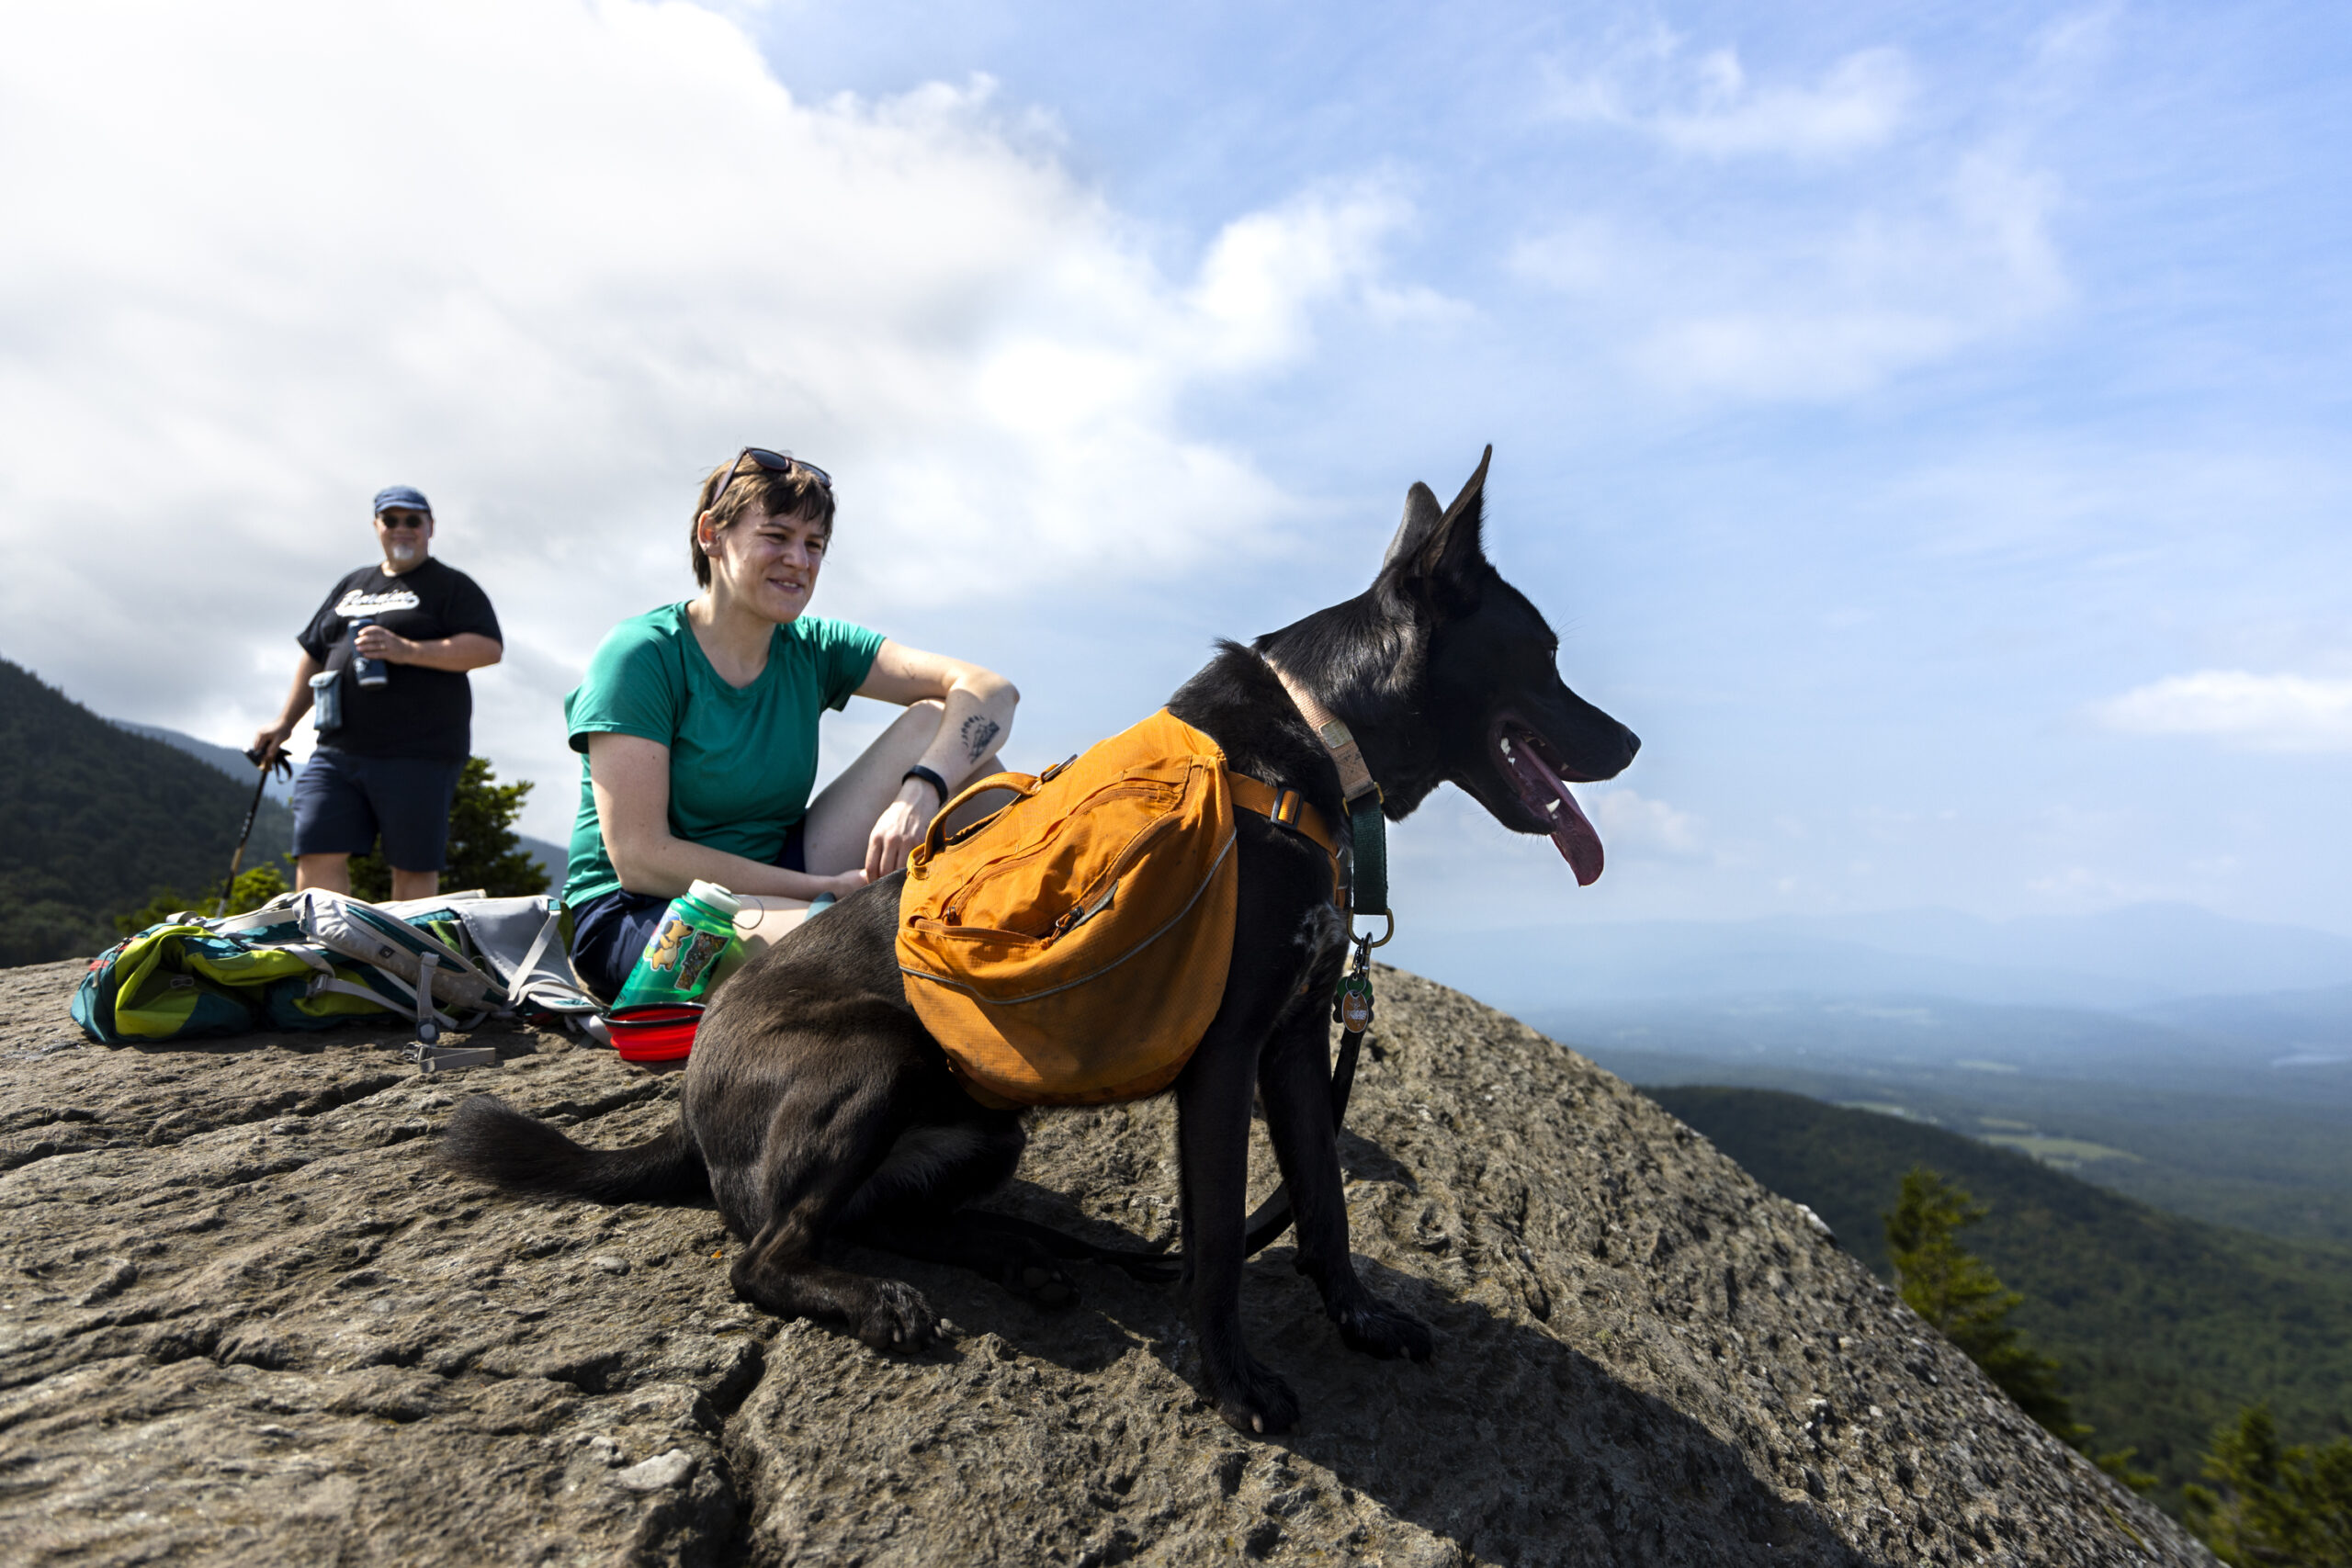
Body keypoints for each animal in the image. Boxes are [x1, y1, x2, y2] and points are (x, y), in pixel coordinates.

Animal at [442, 451, 1636, 1438]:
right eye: (1544, 656)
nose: (1628, 742)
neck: (1313, 737)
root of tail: (689, 1106)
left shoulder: (1296, 1042)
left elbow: (1325, 1206)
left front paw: (1359, 1319)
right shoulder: (1225, 1057)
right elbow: (1216, 1244)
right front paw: (1234, 1380)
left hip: (983, 1124)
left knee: (879, 1218)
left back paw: (1020, 1257)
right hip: (876, 1054)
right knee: (767, 1253)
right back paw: (884, 1300)